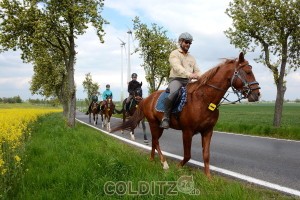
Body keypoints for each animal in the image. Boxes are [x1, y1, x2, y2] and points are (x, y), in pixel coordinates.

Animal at [111, 52, 262, 177]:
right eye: (248, 72)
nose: (257, 94)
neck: (204, 100)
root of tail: (147, 99)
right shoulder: (187, 131)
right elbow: (188, 155)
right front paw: (178, 167)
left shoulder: (208, 131)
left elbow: (206, 155)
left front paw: (208, 178)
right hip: (154, 124)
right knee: (155, 141)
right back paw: (164, 163)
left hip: (158, 126)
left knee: (154, 142)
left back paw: (153, 159)